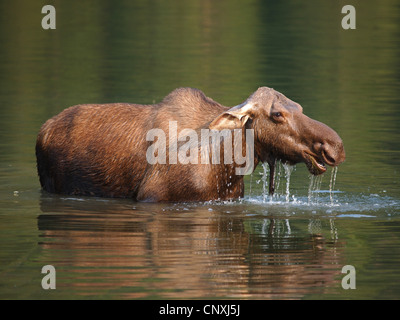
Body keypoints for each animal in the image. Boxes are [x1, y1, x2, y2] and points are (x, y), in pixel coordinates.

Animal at [36, 87, 346, 202]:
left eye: (299, 107)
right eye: (277, 114)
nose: (335, 147)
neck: (225, 164)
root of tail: (43, 129)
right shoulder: (153, 198)